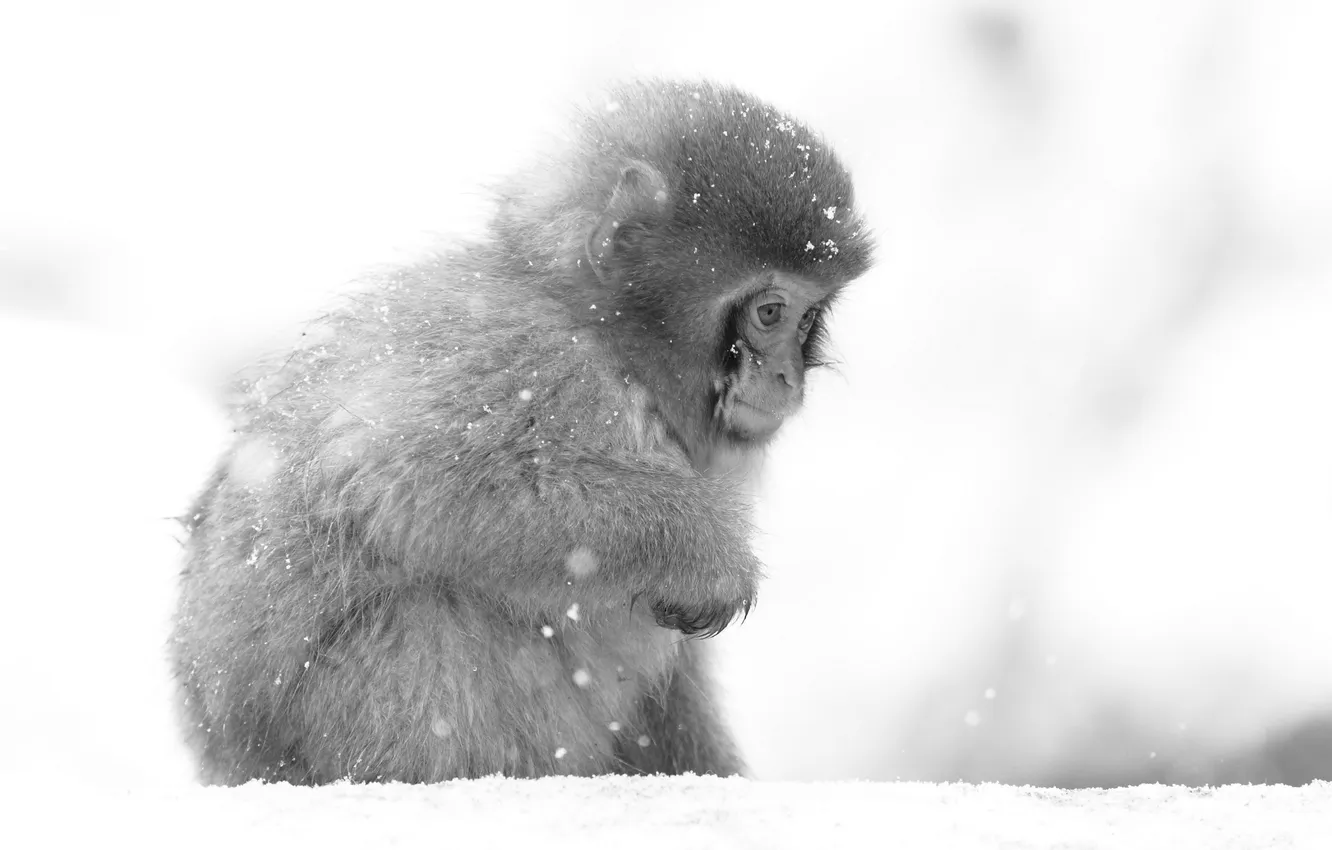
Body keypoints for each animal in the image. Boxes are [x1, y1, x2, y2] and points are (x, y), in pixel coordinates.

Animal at [171, 79, 872, 785]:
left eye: (808, 319)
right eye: (769, 312)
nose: (786, 376)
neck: (602, 335)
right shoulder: (528, 358)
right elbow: (407, 477)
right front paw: (707, 555)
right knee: (431, 614)